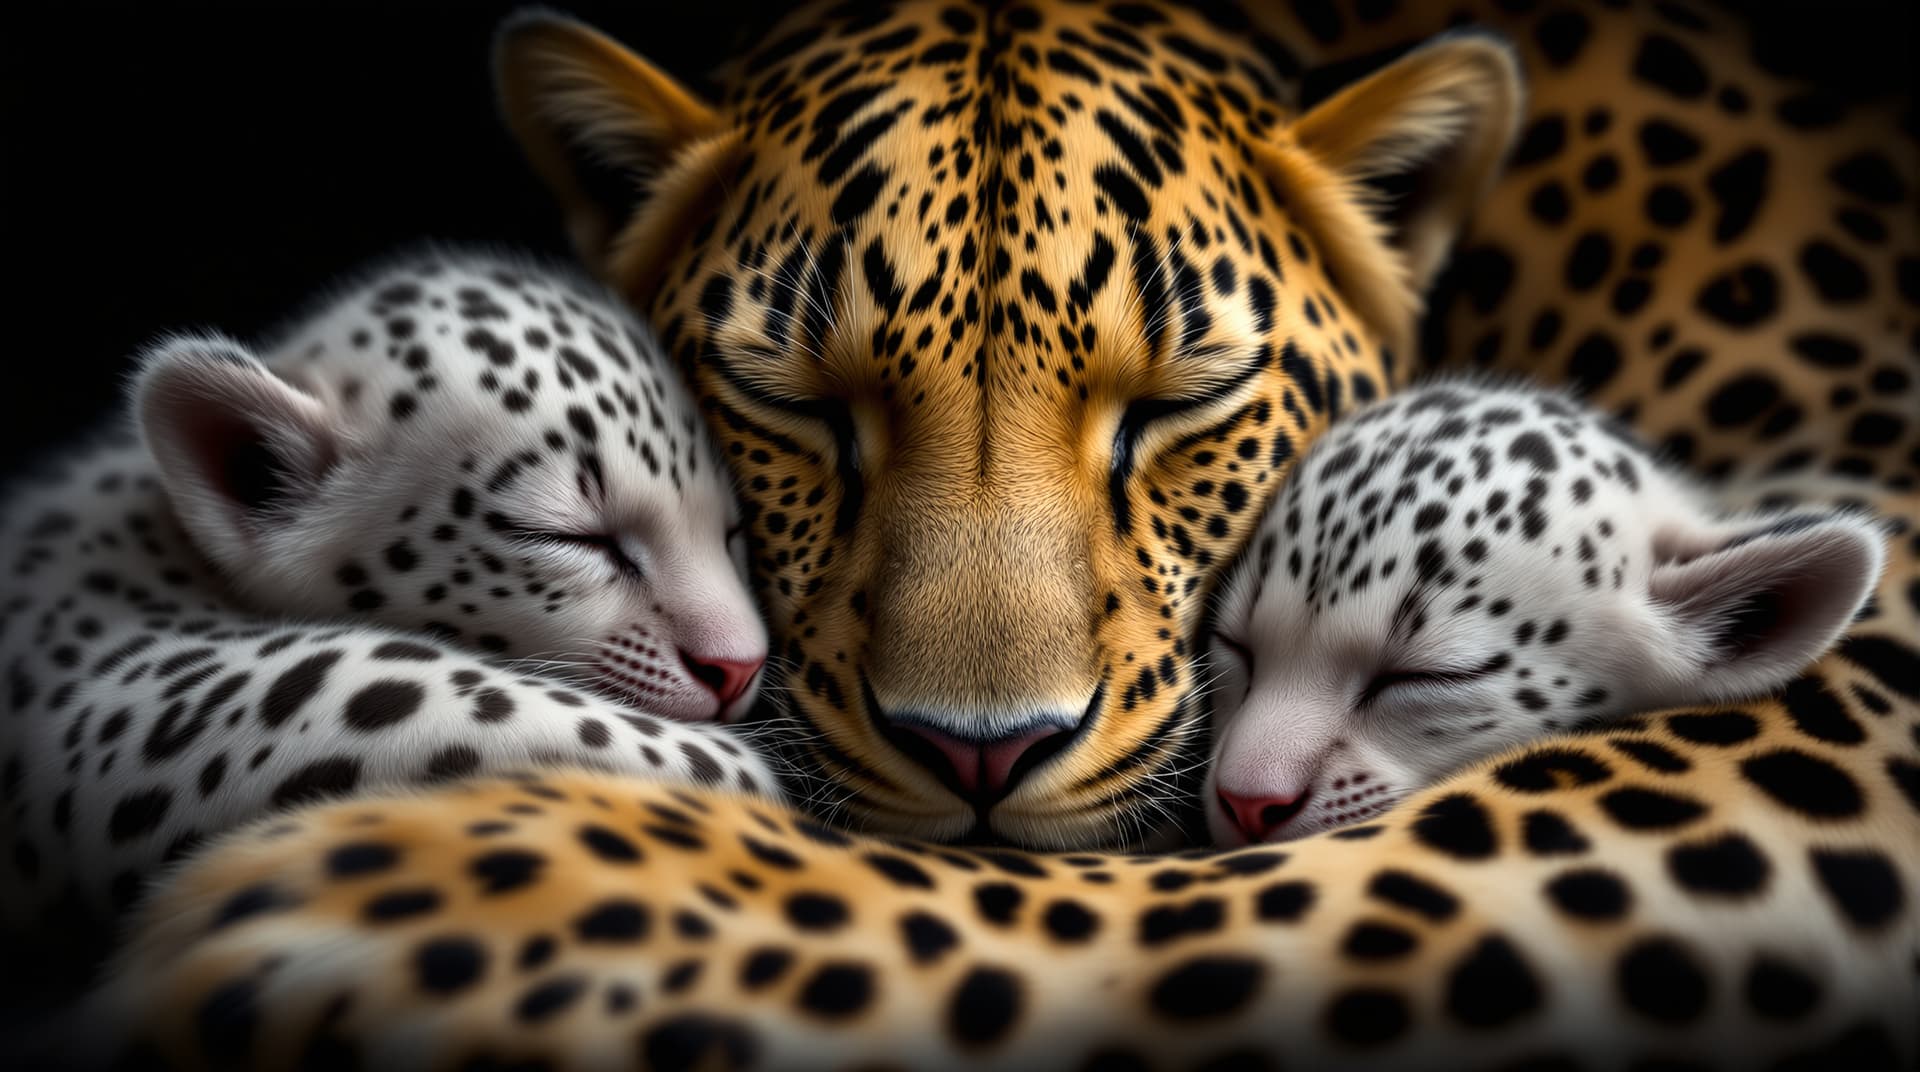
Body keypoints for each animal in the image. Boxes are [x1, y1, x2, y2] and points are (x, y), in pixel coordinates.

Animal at [0, 249, 782, 953]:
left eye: (731, 531)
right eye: (569, 536)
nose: (740, 666)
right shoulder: (129, 694)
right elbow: (424, 688)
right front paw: (732, 776)